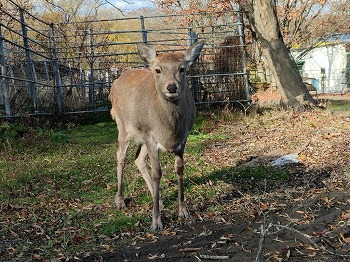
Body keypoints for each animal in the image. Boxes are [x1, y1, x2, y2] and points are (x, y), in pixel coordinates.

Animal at [108, 40, 204, 230]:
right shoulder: (150, 136)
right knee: (121, 156)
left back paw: (156, 199)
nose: (172, 87)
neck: (169, 129)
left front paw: (183, 211)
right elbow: (157, 173)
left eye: (182, 68)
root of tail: (112, 87)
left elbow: (179, 168)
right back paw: (120, 200)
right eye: (158, 70)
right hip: (123, 127)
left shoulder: (183, 137)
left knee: (138, 158)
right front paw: (156, 221)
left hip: (142, 137)